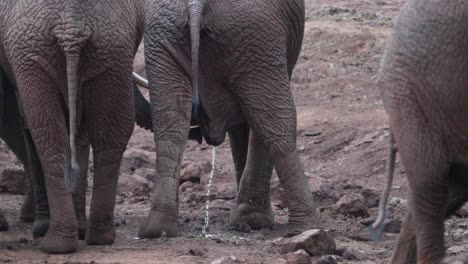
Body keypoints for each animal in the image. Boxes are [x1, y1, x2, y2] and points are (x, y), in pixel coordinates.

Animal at [0, 0, 144, 256]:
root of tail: (72, 25)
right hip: (113, 49)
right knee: (110, 139)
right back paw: (96, 237)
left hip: (33, 53)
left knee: (48, 137)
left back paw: (55, 243)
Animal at [138, 0, 314, 239]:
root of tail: (195, 4)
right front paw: (253, 221)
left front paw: (246, 220)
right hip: (254, 38)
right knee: (276, 123)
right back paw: (306, 226)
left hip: (164, 37)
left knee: (170, 124)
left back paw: (156, 229)